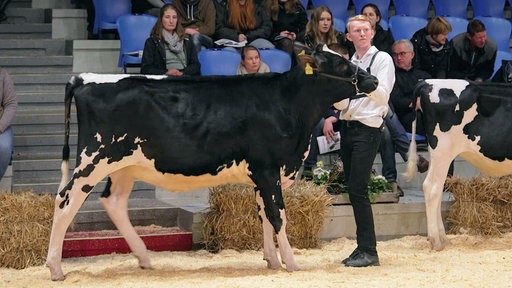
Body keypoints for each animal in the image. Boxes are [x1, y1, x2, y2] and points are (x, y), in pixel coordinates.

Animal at [46, 46, 378, 280]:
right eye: (340, 64)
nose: (373, 79)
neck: (290, 106)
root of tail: (84, 78)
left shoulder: (261, 174)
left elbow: (264, 215)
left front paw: (272, 260)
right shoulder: (268, 168)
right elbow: (278, 216)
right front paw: (292, 263)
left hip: (125, 165)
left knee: (113, 202)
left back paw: (144, 257)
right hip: (94, 159)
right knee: (65, 201)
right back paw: (55, 268)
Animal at [404, 79, 512, 252]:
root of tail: (427, 82)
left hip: (436, 153)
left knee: (436, 188)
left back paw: (443, 238)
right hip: (443, 149)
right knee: (432, 188)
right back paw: (436, 241)